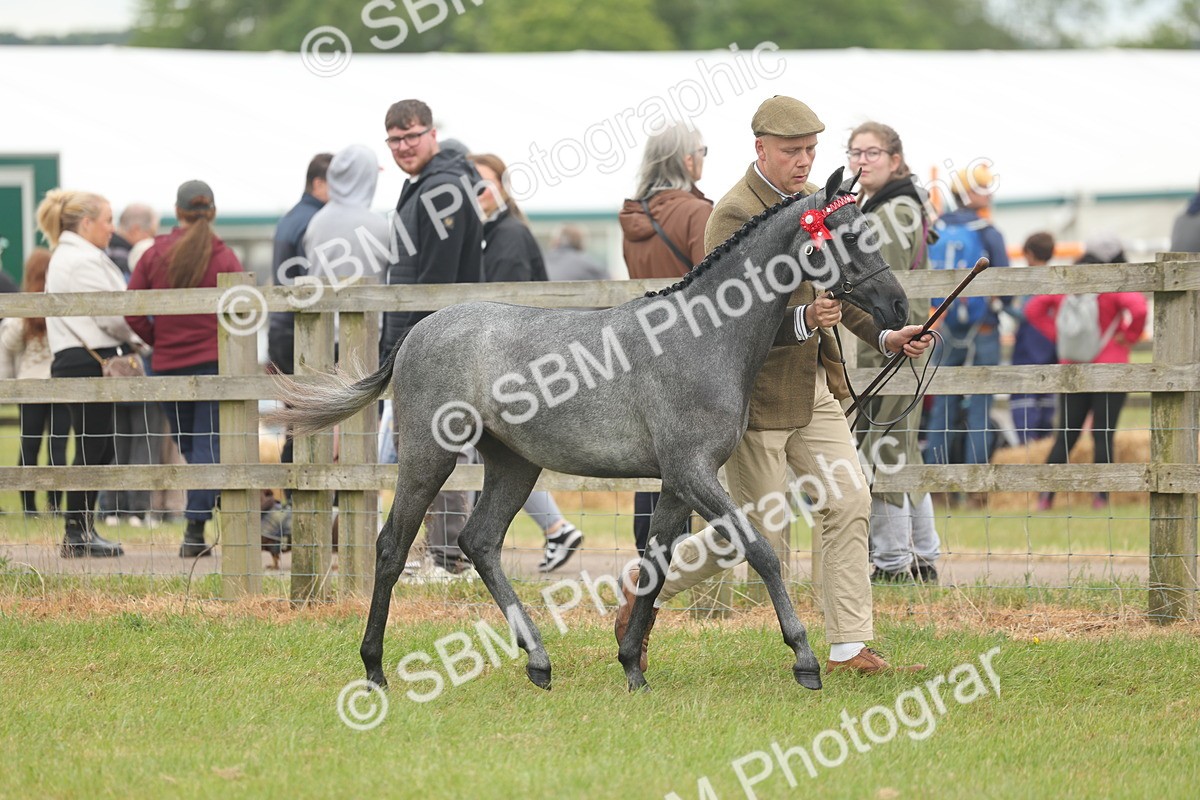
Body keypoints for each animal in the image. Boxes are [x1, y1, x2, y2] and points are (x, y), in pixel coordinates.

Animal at [269, 167, 910, 693]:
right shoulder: (694, 473)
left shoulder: (677, 482)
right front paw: (805, 660)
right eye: (849, 235)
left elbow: (657, 563)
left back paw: (538, 662)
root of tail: (417, 331)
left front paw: (632, 666)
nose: (900, 309)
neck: (703, 337)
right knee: (392, 546)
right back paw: (375, 669)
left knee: (480, 542)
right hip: (430, 456)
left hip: (513, 463)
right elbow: (761, 551)